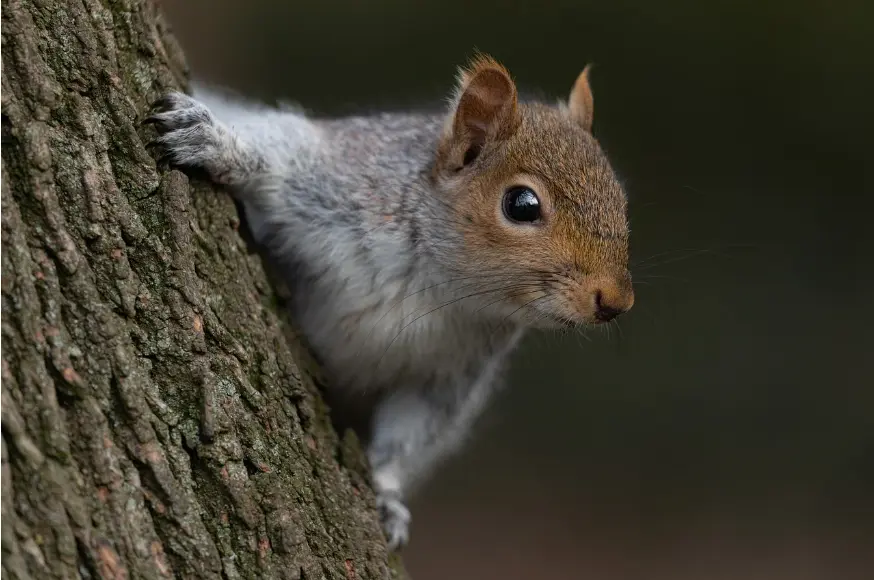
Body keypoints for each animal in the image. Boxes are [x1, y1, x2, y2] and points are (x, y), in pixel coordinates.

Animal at [143, 53, 632, 548]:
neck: (439, 282)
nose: (616, 301)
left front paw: (386, 495)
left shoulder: (448, 377)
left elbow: (409, 435)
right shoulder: (340, 177)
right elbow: (278, 153)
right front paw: (215, 141)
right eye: (522, 204)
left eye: (621, 200)